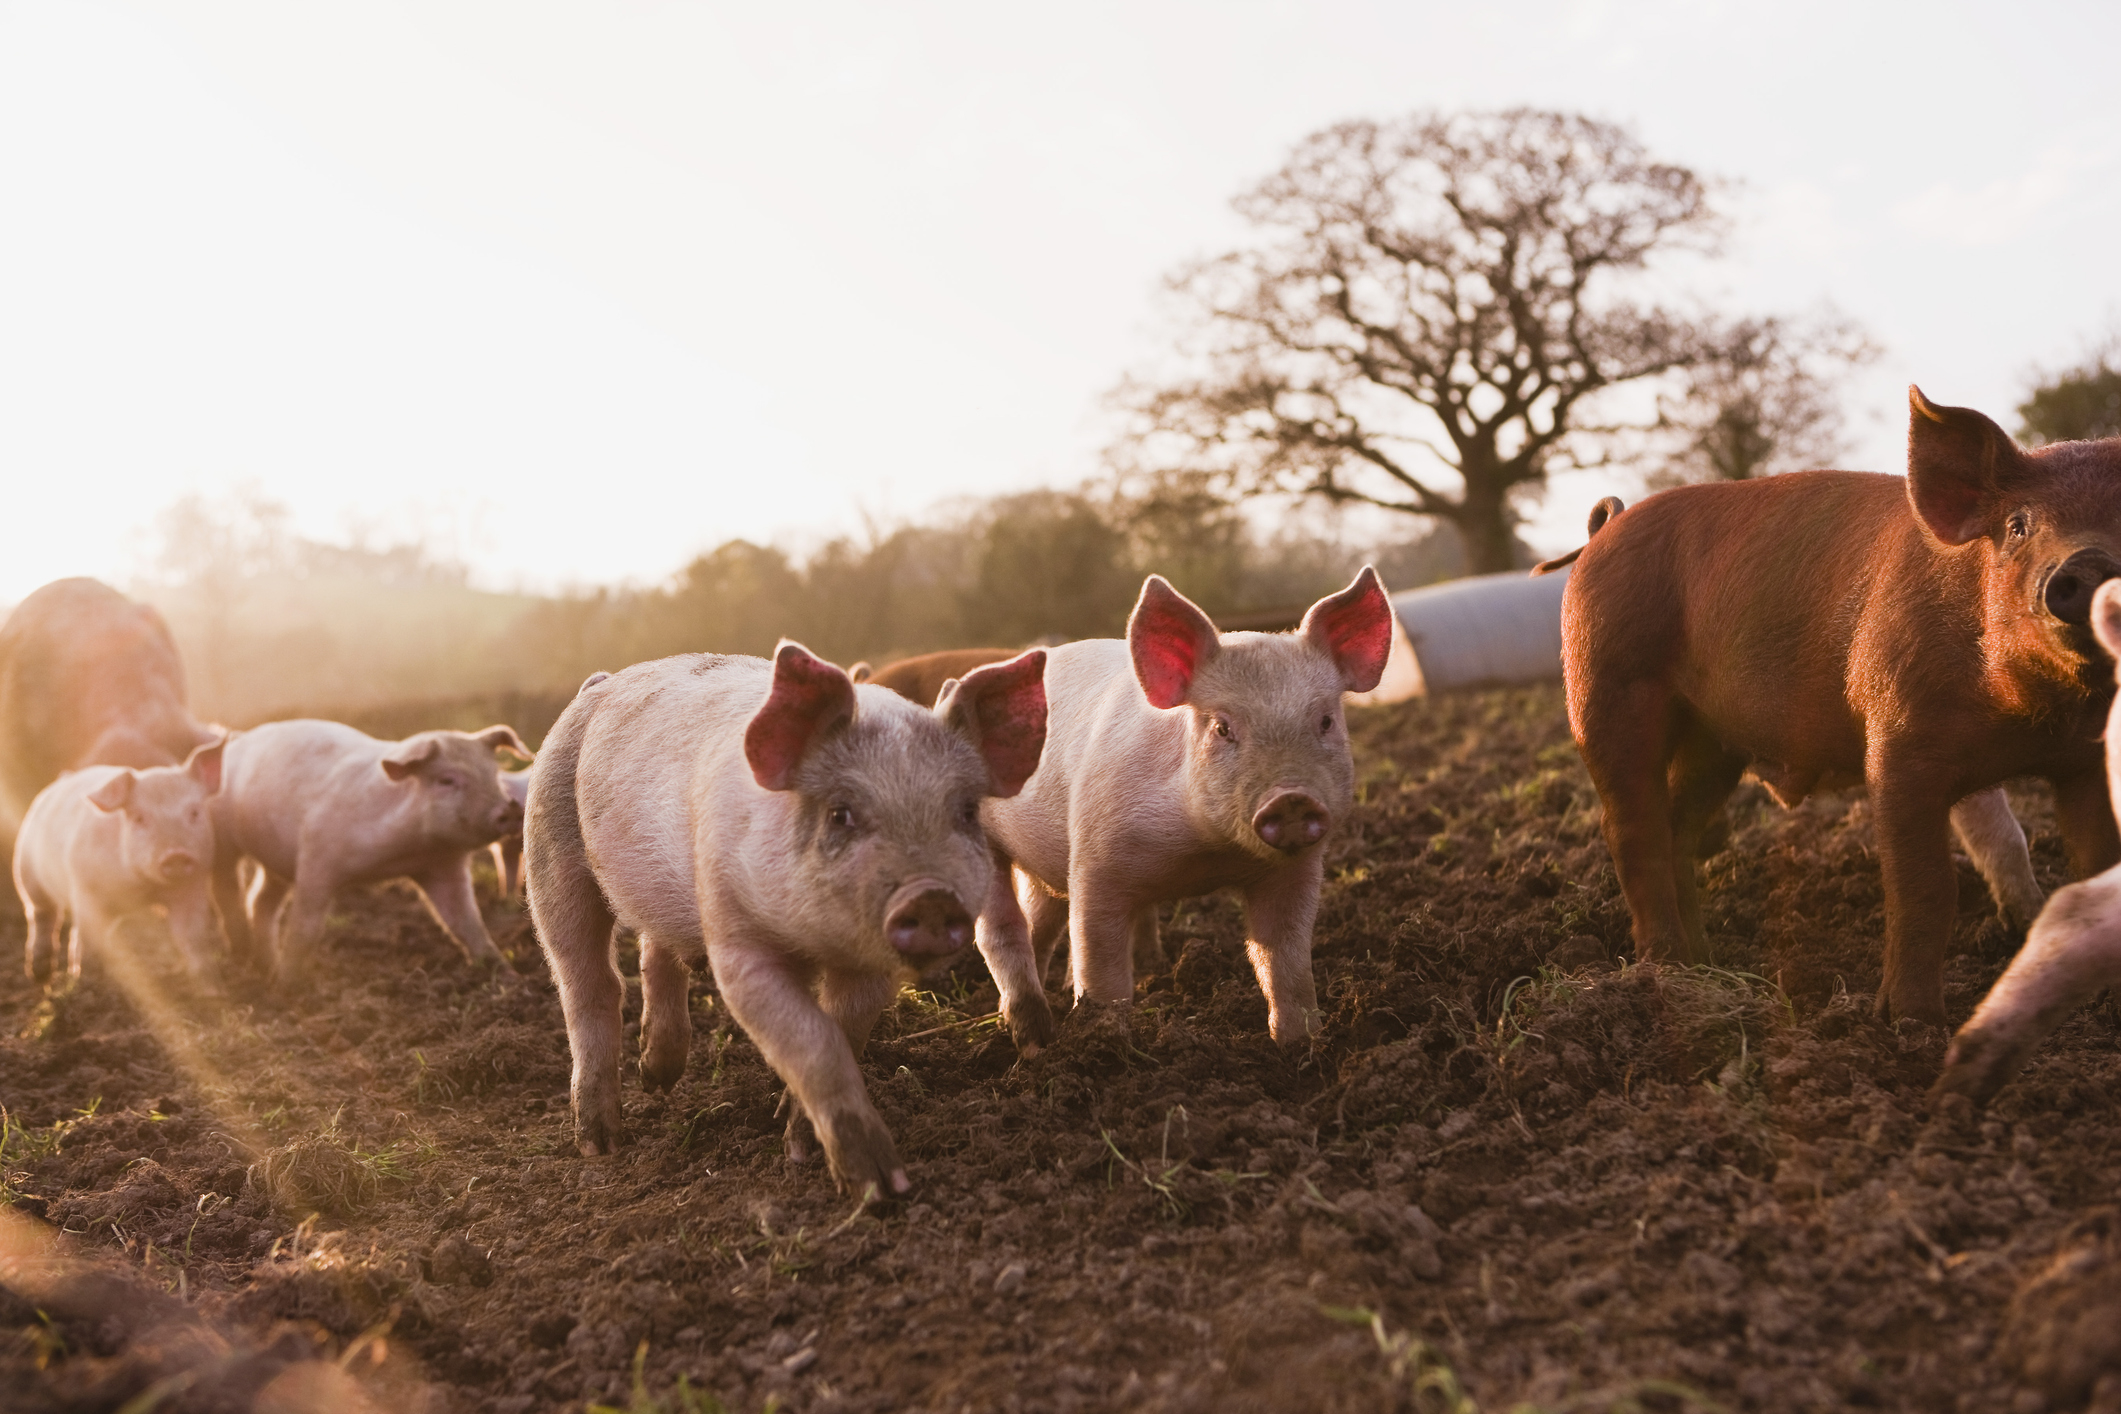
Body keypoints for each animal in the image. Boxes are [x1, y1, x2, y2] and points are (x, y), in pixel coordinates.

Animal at [15, 737, 227, 987]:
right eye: (139, 818)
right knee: (42, 917)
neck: (141, 888)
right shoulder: (85, 891)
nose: (175, 854)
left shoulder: (192, 888)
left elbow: (191, 936)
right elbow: (88, 939)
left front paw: (208, 982)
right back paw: (39, 974)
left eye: (194, 812)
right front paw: (83, 981)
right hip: (28, 876)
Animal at [208, 720, 533, 987]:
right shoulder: (317, 858)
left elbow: (469, 926)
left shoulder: (443, 866)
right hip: (222, 840)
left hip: (276, 863)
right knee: (227, 889)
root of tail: (239, 739)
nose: (509, 809)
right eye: (446, 780)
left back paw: (266, 964)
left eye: (493, 774)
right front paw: (287, 988)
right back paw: (246, 953)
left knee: (260, 901)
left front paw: (512, 979)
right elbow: (305, 928)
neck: (409, 850)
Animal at [527, 642, 1047, 1194]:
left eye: (967, 812)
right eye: (840, 813)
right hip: (549, 852)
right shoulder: (738, 941)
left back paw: (658, 1079)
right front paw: (877, 1186)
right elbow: (812, 1039)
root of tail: (600, 683)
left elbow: (845, 1032)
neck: (814, 941)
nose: (930, 895)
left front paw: (798, 1140)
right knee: (590, 983)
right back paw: (599, 1144)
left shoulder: (871, 965)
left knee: (656, 952)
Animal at [973, 569, 1393, 1047]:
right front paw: (1106, 1037)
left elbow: (1285, 959)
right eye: (1222, 727)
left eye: (1325, 721)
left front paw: (1300, 1043)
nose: (1290, 798)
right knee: (1001, 931)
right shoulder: (1096, 861)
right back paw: (1031, 1036)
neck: (1207, 853)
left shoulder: (1296, 871)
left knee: (1039, 923)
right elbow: (1101, 965)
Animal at [1552, 388, 2121, 1024]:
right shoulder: (1897, 742)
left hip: (1713, 741)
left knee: (1678, 824)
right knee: (1632, 826)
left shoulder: (2085, 761)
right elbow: (1925, 888)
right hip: (1606, 687)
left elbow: (2091, 866)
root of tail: (1606, 528)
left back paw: (1705, 962)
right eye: (2018, 526)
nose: (2089, 564)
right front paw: (1911, 1024)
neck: (2028, 717)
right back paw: (1666, 969)